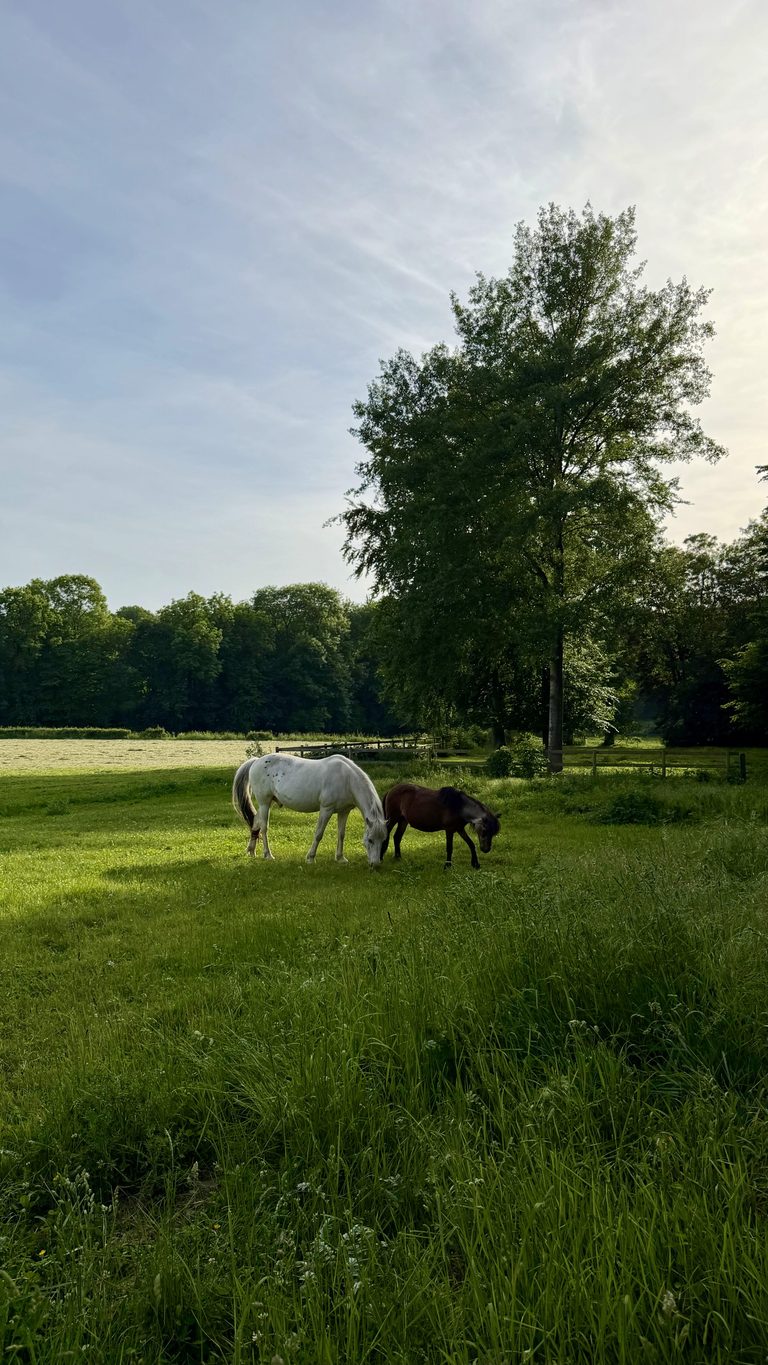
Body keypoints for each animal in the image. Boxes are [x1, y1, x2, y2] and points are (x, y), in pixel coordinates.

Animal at [232, 753, 388, 866]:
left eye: (383, 840)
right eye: (370, 840)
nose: (375, 864)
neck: (347, 779)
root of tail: (257, 761)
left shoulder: (344, 811)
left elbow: (341, 834)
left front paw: (340, 858)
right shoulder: (326, 809)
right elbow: (318, 834)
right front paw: (310, 858)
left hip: (263, 805)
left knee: (255, 823)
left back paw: (251, 851)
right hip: (265, 803)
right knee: (264, 828)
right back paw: (268, 855)